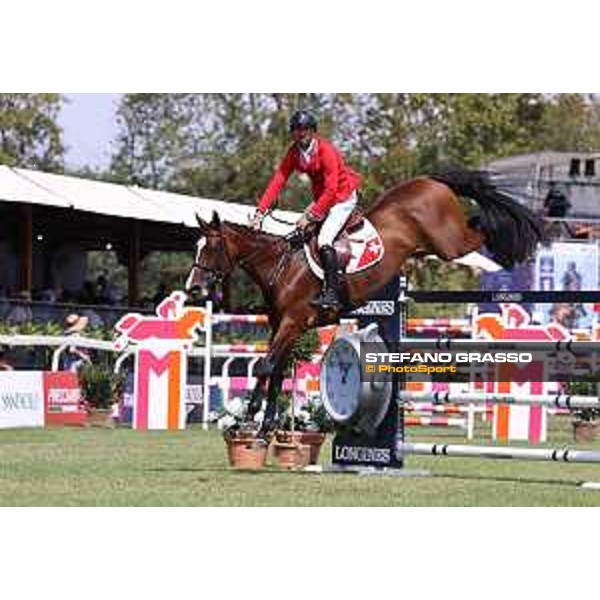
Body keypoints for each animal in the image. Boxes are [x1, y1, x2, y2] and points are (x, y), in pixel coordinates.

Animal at [188, 169, 544, 436]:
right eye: (196, 247)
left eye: (210, 249)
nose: (193, 288)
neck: (281, 265)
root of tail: (430, 180)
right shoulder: (282, 326)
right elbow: (275, 372)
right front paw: (265, 429)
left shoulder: (292, 322)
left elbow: (265, 366)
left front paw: (246, 421)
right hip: (432, 246)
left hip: (450, 243)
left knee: (479, 227)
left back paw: (508, 245)